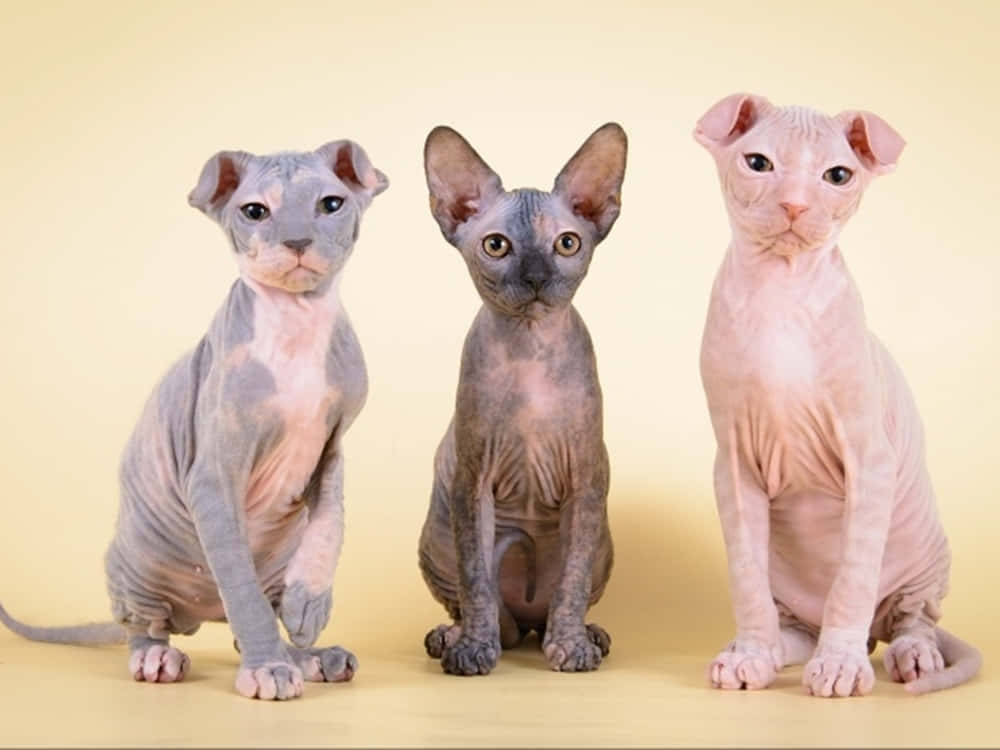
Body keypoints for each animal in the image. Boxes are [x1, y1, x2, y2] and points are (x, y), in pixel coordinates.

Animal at [0, 138, 386, 704]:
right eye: (255, 212)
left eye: (330, 205)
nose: (296, 240)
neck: (295, 323)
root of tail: (201, 613)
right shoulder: (212, 477)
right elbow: (243, 590)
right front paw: (268, 670)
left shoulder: (332, 446)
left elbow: (330, 522)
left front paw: (308, 605)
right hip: (137, 558)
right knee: (146, 625)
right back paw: (162, 657)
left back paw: (311, 654)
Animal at [416, 122, 624, 676]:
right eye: (496, 245)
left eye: (567, 243)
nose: (534, 277)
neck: (530, 349)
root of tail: (529, 621)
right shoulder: (471, 482)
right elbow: (476, 581)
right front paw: (474, 648)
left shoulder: (586, 482)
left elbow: (572, 582)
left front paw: (571, 646)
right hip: (436, 540)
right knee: (473, 599)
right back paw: (453, 635)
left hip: (604, 548)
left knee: (565, 596)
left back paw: (588, 633)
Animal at [692, 92, 980, 700]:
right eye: (758, 164)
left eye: (838, 176)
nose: (796, 205)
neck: (780, 291)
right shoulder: (733, 464)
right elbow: (746, 579)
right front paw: (751, 654)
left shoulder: (870, 459)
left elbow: (852, 578)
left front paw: (841, 666)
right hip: (790, 591)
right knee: (794, 622)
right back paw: (773, 649)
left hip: (924, 558)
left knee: (912, 619)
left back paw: (910, 656)